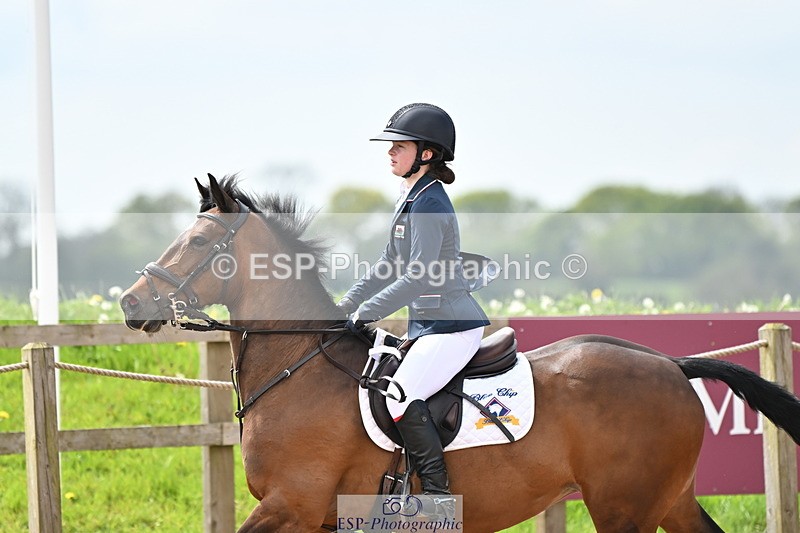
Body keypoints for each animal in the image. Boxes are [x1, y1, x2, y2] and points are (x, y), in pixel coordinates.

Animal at [120, 174, 800, 532]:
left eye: (199, 241)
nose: (130, 303)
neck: (299, 370)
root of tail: (671, 365)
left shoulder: (294, 505)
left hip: (623, 508)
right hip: (668, 498)